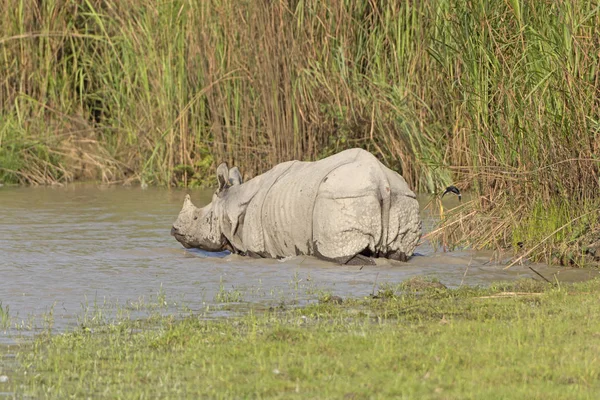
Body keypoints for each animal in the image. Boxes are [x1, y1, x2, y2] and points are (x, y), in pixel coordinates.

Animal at [170, 148, 422, 264]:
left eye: (197, 218)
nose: (174, 230)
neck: (231, 203)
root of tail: (381, 181)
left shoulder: (257, 247)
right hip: (404, 199)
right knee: (398, 254)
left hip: (343, 199)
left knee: (339, 254)